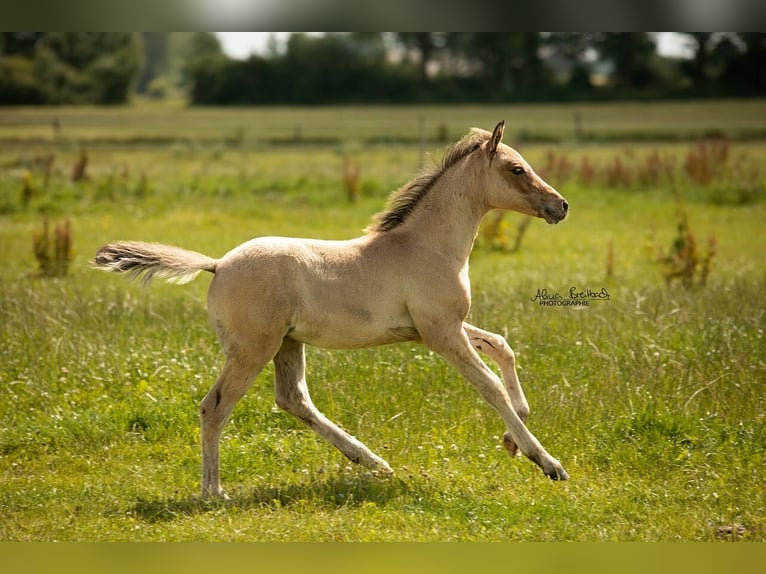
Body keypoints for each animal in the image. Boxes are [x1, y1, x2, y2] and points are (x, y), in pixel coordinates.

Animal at [94, 121, 568, 500]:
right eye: (517, 169)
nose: (561, 205)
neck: (424, 246)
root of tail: (218, 264)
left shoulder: (440, 327)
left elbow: (502, 347)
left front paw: (512, 437)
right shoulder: (440, 334)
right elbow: (490, 386)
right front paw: (546, 462)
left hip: (287, 344)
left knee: (293, 399)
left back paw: (372, 461)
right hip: (252, 350)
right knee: (215, 408)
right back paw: (214, 493)